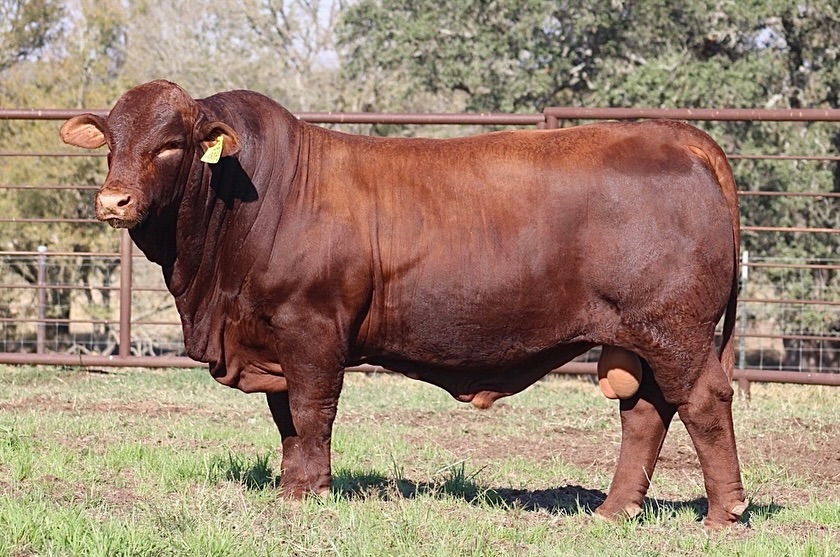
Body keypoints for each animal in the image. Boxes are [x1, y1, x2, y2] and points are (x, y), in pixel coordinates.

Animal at [60, 80, 746, 527]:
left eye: (171, 144)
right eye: (111, 140)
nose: (113, 200)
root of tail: (673, 134)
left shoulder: (311, 328)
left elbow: (311, 412)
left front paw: (311, 493)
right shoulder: (272, 339)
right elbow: (285, 419)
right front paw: (290, 488)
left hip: (675, 329)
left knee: (703, 401)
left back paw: (723, 514)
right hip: (641, 336)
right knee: (646, 412)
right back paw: (613, 510)